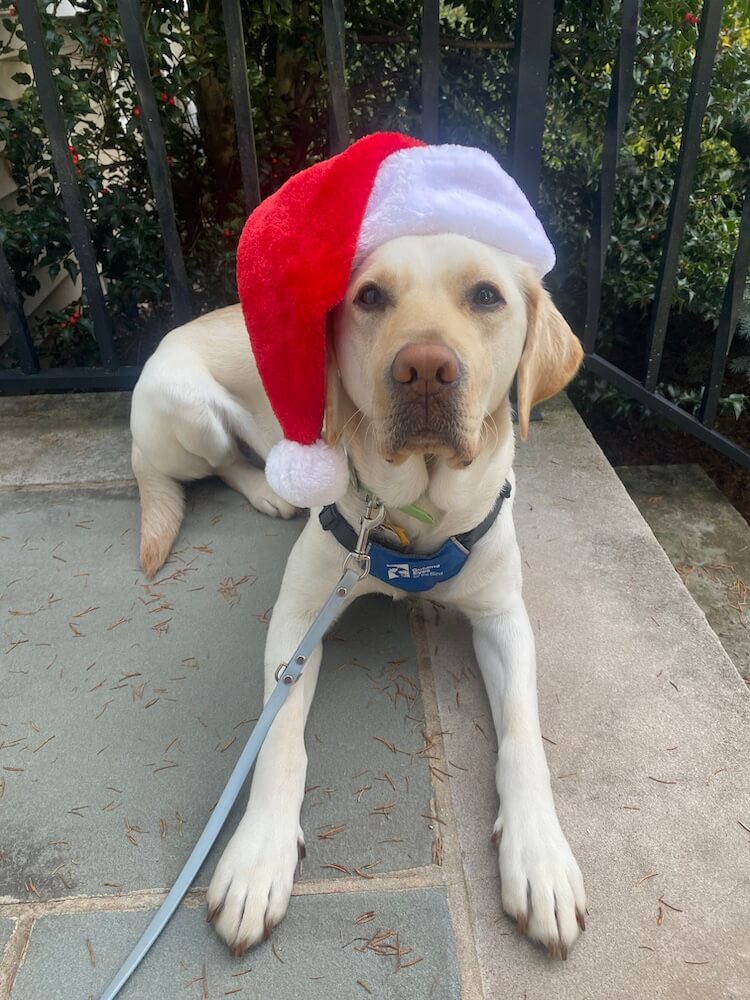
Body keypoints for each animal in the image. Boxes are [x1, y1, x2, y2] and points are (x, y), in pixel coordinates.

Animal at [129, 234, 588, 960]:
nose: (425, 369)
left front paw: (540, 857)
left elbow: (522, 733)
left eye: (486, 295)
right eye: (370, 296)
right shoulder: (297, 616)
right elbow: (280, 737)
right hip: (191, 413)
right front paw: (258, 857)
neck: (414, 518)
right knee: (219, 462)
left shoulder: (504, 618)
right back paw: (267, 490)